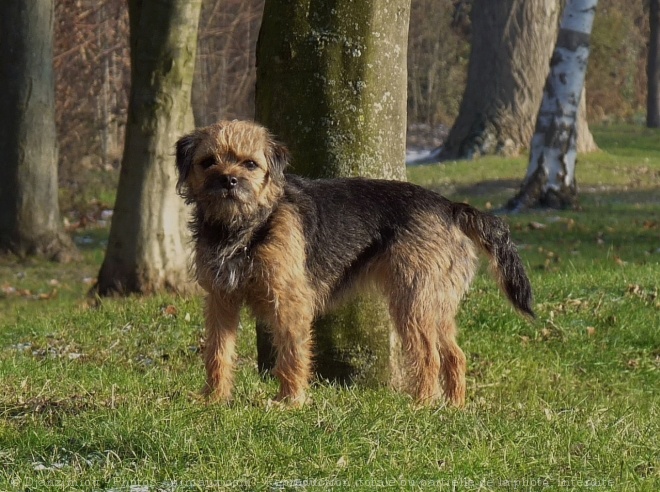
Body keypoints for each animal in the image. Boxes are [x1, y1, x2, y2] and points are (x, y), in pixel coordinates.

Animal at [173, 119, 532, 408]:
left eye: (250, 164)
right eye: (208, 162)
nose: (228, 181)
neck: (245, 227)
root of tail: (449, 207)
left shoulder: (290, 303)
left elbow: (291, 354)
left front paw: (290, 402)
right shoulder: (221, 300)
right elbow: (217, 352)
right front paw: (213, 399)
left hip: (412, 300)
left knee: (428, 355)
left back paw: (422, 405)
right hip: (434, 303)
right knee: (455, 355)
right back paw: (453, 407)